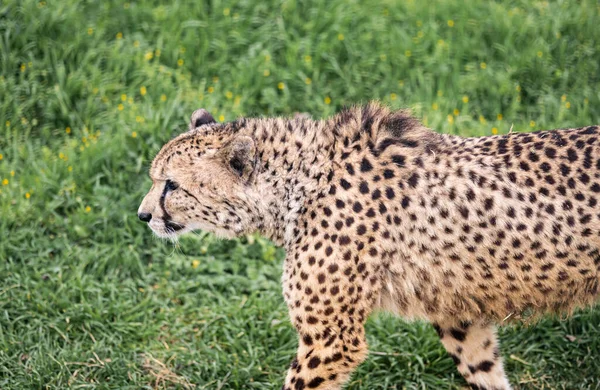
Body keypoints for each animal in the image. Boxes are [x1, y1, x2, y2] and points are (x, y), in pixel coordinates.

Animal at [137, 103, 600, 390]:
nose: (142, 215)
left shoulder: (331, 337)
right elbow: (482, 368)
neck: (299, 185)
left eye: (171, 185)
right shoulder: (457, 311)